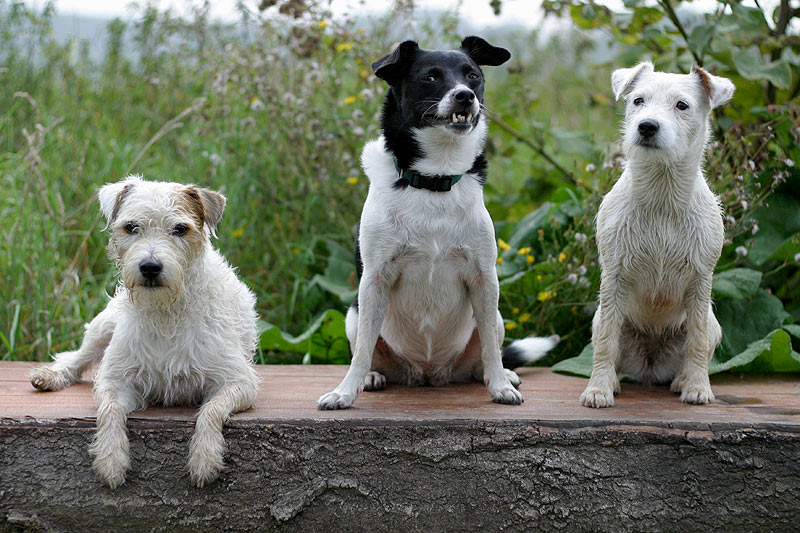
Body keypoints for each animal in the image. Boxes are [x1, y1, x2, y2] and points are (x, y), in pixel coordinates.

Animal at [318, 37, 556, 410]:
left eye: (473, 76)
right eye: (430, 77)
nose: (465, 96)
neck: (434, 179)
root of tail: (429, 373)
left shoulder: (484, 279)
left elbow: (491, 347)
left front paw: (500, 385)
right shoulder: (374, 281)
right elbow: (361, 353)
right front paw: (344, 392)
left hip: (495, 315)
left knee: (486, 353)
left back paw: (500, 374)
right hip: (354, 313)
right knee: (366, 350)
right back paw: (373, 376)